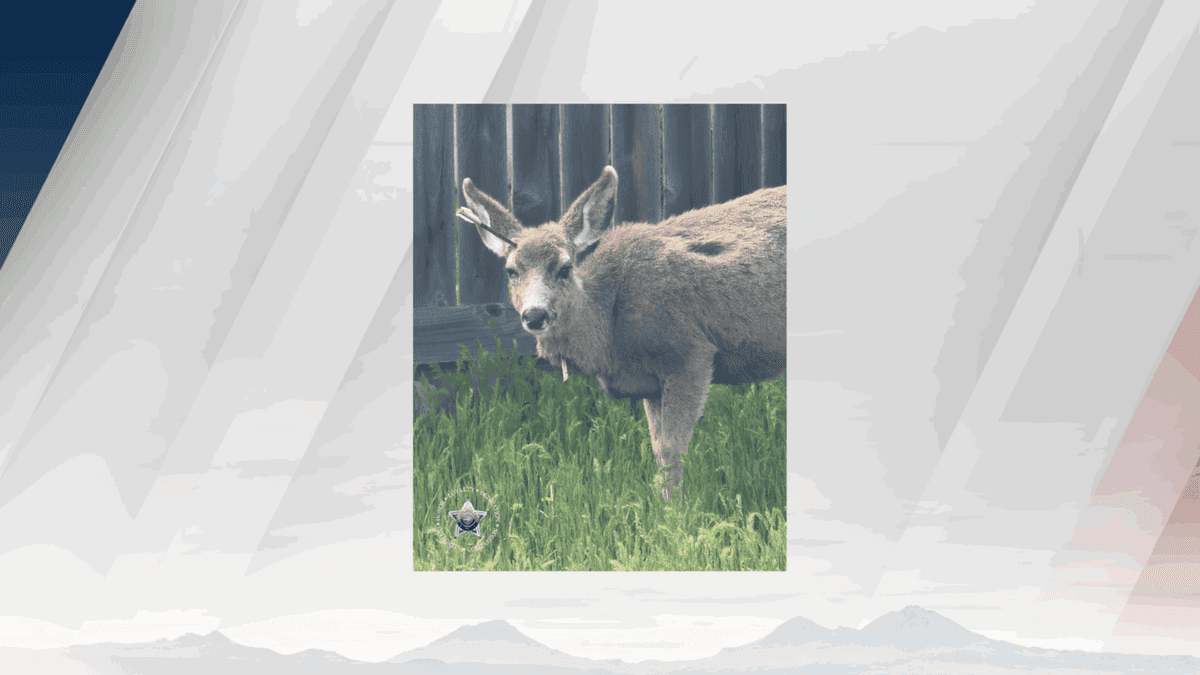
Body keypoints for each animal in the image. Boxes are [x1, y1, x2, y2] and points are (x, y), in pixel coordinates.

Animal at [457, 166, 785, 500]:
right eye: (511, 271)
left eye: (564, 268)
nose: (535, 315)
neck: (610, 331)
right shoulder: (652, 381)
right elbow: (657, 448)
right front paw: (664, 505)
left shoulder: (690, 352)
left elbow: (672, 449)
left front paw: (678, 511)